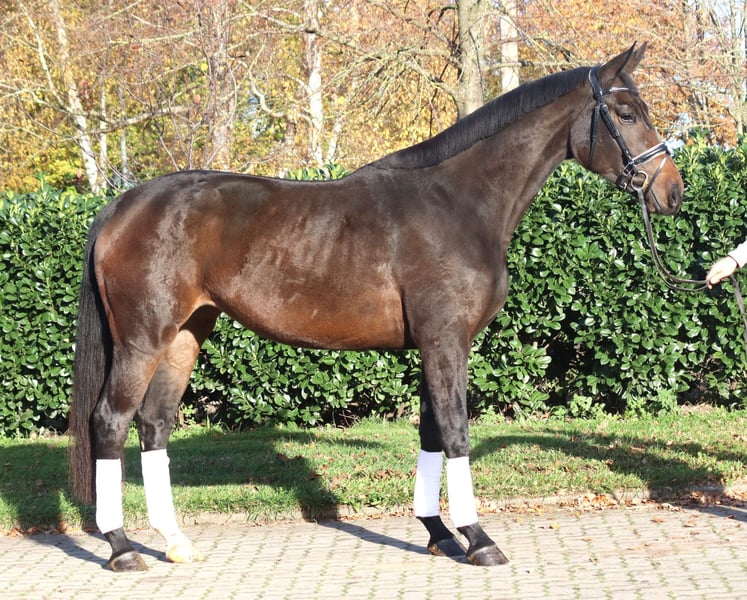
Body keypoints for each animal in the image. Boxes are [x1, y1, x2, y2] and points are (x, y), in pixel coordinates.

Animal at [68, 43, 683, 571]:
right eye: (626, 113)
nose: (671, 192)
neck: (459, 203)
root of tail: (122, 205)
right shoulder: (446, 339)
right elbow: (455, 429)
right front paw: (479, 539)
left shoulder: (435, 343)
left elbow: (432, 431)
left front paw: (439, 533)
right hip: (143, 339)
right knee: (111, 421)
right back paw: (121, 547)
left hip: (185, 334)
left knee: (154, 425)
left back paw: (174, 541)